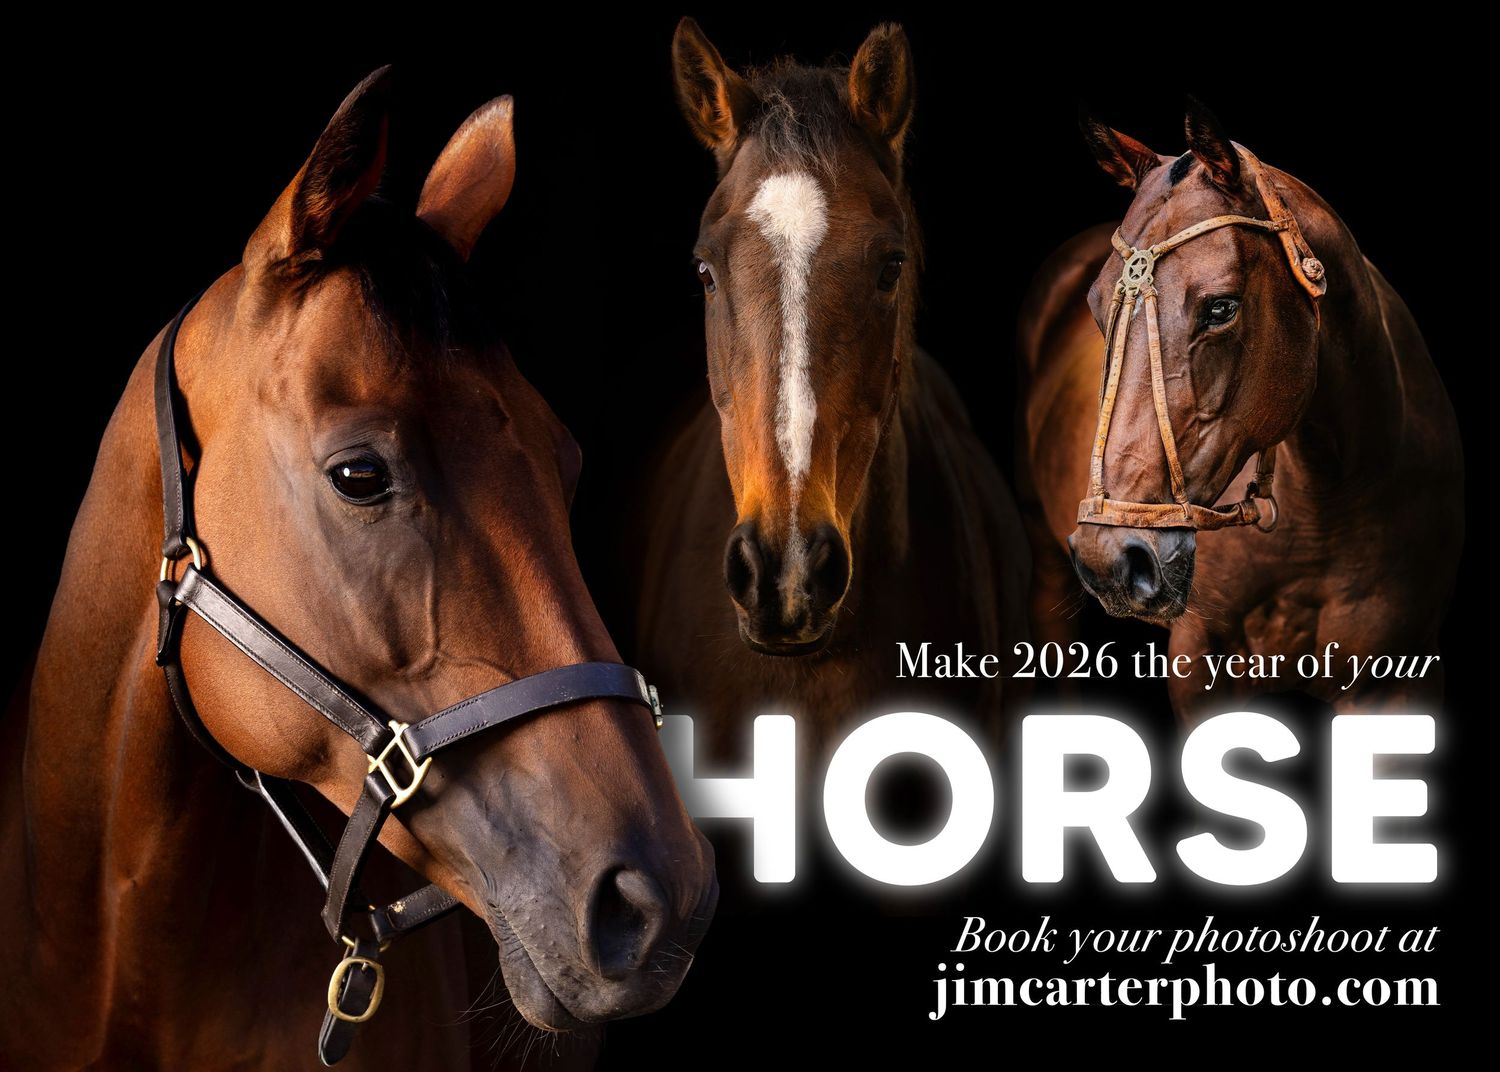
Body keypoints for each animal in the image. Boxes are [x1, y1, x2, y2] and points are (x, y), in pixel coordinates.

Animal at [1017, 100, 1462, 720]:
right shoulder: (1200, 663)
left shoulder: (1400, 679)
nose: (1111, 558)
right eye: (1097, 307)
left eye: (1221, 308)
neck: (1329, 505)